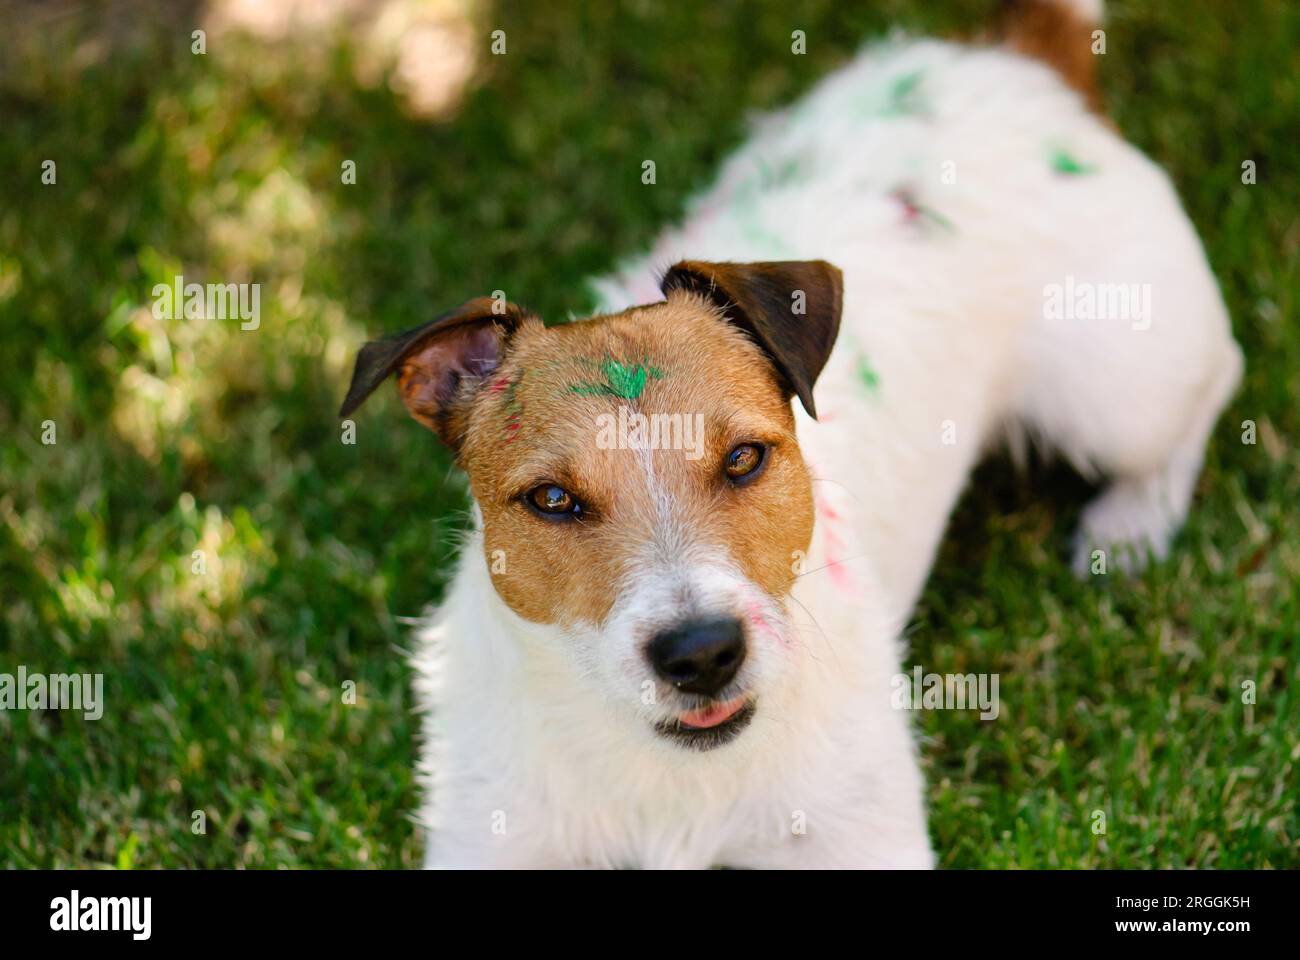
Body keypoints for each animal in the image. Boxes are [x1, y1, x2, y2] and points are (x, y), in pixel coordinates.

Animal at [340, 0, 1242, 863]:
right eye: (552, 499)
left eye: (745, 458)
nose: (702, 653)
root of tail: (1012, 65)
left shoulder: (866, 843)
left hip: (1118, 392)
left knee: (1216, 376)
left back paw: (1132, 523)